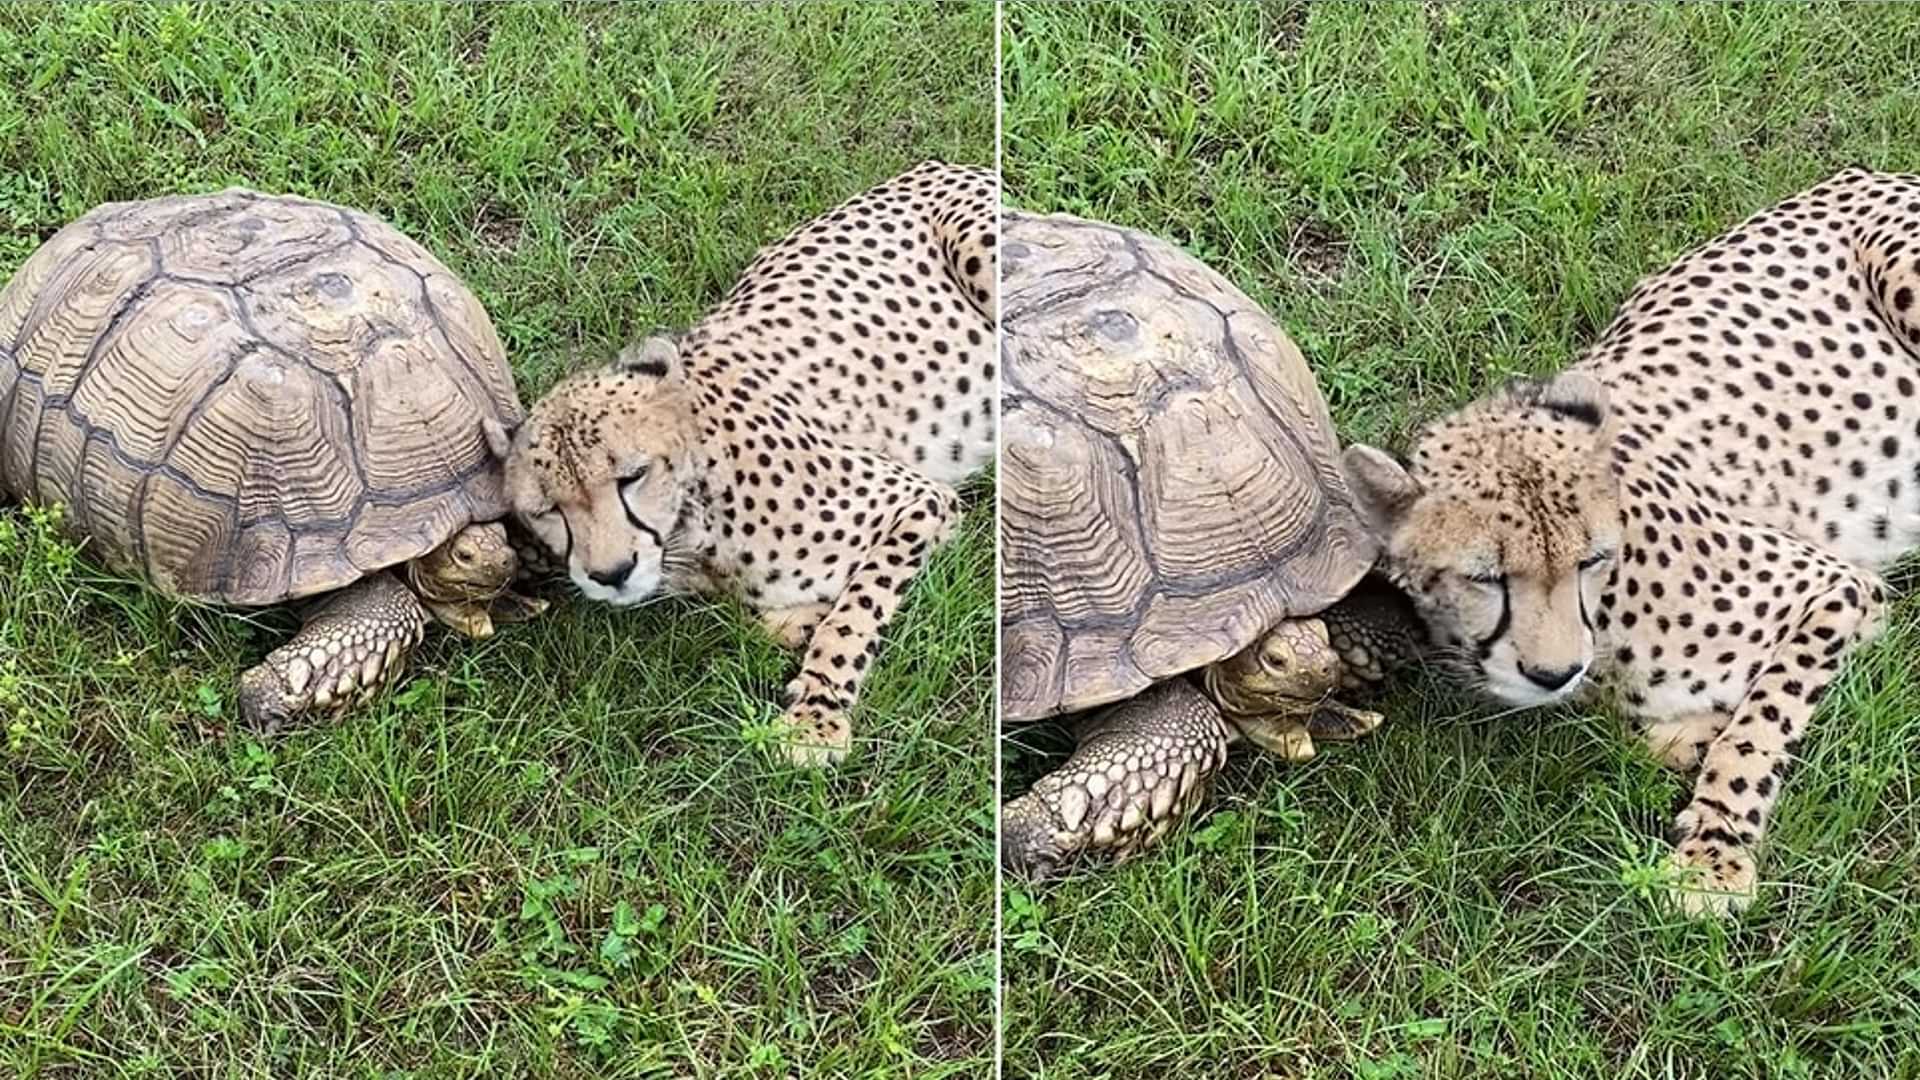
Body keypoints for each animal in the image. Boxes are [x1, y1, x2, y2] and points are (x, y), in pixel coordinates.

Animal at [484, 160, 997, 766]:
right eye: (549, 510)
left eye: (632, 476)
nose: (612, 574)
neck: (696, 522)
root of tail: (943, 165)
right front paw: (793, 623)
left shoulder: (918, 500)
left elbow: (854, 614)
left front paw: (816, 716)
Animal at [1341, 166, 1920, 916]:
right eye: (1485, 578)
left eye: (1590, 559)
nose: (1554, 672)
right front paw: (1685, 736)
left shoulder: (1835, 586)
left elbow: (1757, 728)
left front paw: (1713, 854)